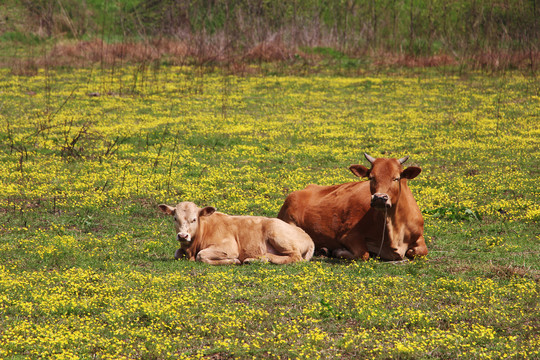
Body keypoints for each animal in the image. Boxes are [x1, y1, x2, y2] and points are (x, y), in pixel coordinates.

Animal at [158, 202, 314, 264]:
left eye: (194, 219)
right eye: (175, 218)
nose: (183, 236)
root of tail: (306, 235)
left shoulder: (229, 247)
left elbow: (201, 255)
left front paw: (233, 261)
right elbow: (177, 253)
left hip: (277, 233)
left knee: (295, 256)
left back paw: (262, 257)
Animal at [278, 153, 426, 260]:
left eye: (396, 178)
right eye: (371, 177)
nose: (379, 198)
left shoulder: (419, 236)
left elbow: (420, 251)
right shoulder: (348, 235)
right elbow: (363, 254)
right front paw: (338, 251)